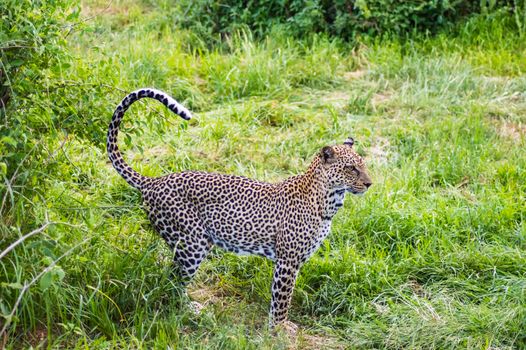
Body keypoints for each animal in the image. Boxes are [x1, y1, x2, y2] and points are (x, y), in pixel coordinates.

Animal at [107, 87, 374, 328]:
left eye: (363, 165)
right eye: (351, 168)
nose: (369, 183)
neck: (329, 202)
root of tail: (153, 181)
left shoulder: (296, 260)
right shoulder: (287, 260)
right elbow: (282, 299)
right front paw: (279, 329)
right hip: (192, 243)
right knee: (172, 280)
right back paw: (188, 311)